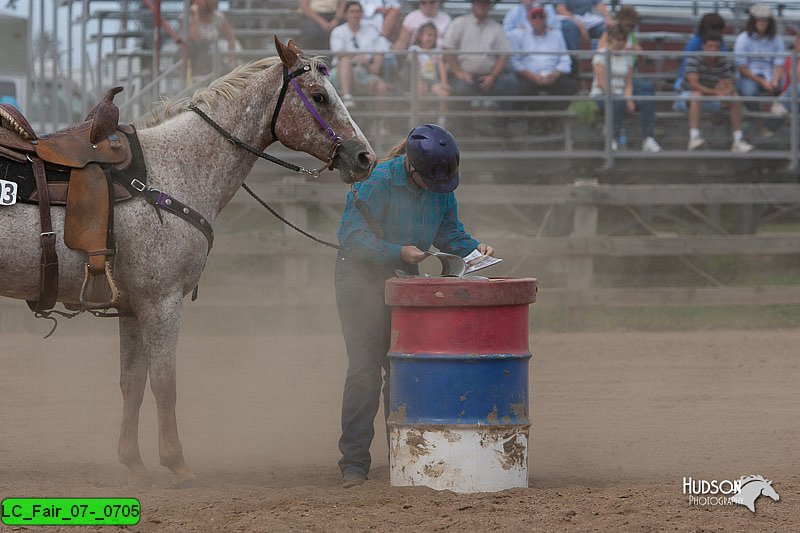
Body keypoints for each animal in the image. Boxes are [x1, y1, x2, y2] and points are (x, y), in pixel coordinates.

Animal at [0, 39, 376, 484]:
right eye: (319, 96)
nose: (364, 157)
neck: (173, 170)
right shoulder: (161, 301)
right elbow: (165, 383)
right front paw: (176, 463)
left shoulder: (133, 306)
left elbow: (132, 383)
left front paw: (133, 461)